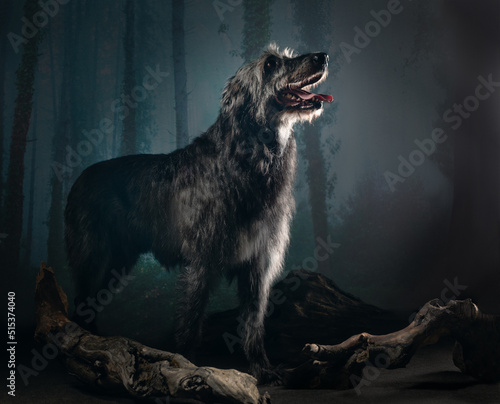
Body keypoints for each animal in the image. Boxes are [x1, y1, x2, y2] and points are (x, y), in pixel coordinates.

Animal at [65, 44, 332, 382]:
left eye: (286, 55)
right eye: (271, 64)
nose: (322, 56)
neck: (251, 157)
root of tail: (80, 177)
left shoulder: (259, 263)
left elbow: (254, 321)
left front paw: (262, 368)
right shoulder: (202, 261)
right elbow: (191, 320)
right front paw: (187, 366)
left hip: (117, 262)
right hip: (94, 257)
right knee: (81, 302)